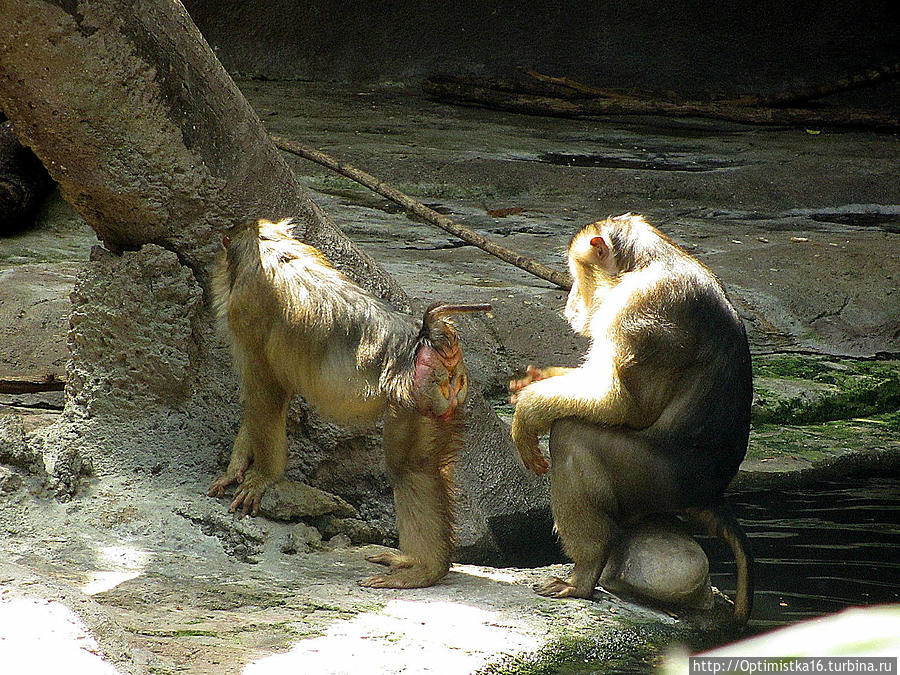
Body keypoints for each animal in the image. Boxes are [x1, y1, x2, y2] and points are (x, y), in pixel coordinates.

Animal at [210, 219, 488, 588]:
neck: (269, 245)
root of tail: (429, 339)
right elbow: (274, 392)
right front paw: (237, 466)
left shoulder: (246, 311)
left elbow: (265, 392)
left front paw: (262, 476)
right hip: (440, 401)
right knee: (422, 467)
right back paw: (427, 566)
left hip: (416, 395)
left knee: (407, 468)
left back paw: (421, 571)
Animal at [510, 215, 756, 624]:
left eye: (576, 274)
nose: (569, 303)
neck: (645, 262)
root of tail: (710, 494)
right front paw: (538, 381)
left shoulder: (642, 311)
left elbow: (621, 404)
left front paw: (529, 408)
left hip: (654, 480)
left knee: (573, 433)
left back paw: (586, 571)